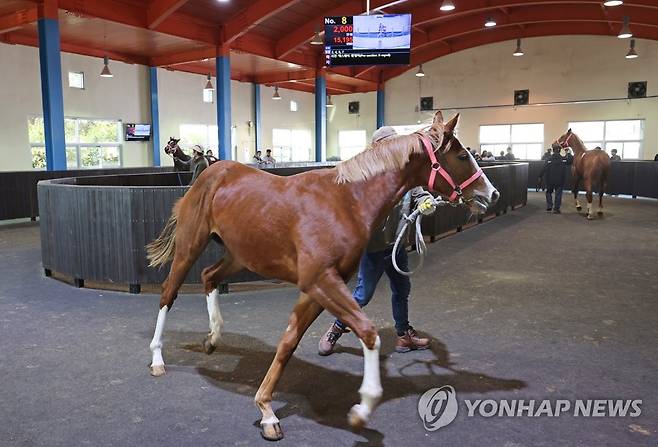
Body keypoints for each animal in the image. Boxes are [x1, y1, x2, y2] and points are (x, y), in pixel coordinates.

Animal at [146, 112, 498, 440]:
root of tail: (209, 174)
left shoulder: (320, 286)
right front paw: (362, 409)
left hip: (239, 255)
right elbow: (368, 332)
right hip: (190, 247)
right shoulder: (319, 281)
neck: (346, 202)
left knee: (209, 276)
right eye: (462, 156)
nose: (491, 194)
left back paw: (213, 337)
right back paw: (158, 359)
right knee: (168, 293)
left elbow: (289, 341)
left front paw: (267, 410)